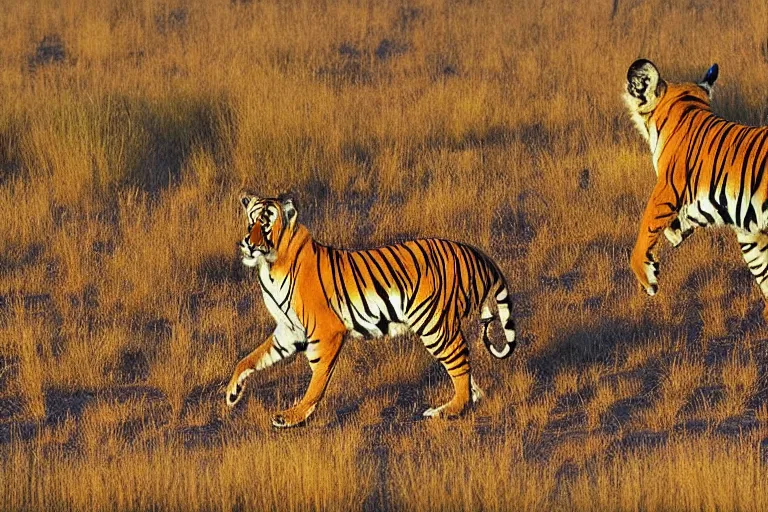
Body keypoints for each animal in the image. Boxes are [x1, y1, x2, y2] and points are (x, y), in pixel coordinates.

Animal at [225, 193, 520, 428]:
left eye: (265, 224)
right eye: (251, 222)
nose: (248, 244)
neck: (269, 267)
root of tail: (475, 253)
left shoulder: (326, 331)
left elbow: (317, 378)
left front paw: (293, 416)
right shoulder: (289, 331)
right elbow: (251, 358)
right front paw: (232, 393)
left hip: (434, 325)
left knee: (459, 364)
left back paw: (445, 411)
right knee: (465, 367)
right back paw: (471, 397)